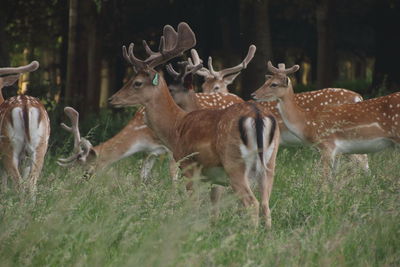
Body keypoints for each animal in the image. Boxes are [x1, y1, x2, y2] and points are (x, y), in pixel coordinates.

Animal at [108, 22, 280, 229]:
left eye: (137, 82)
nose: (112, 99)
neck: (176, 127)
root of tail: (257, 114)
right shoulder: (215, 178)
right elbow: (214, 203)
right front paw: (212, 227)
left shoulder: (189, 164)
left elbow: (194, 203)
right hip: (270, 163)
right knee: (265, 204)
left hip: (234, 163)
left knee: (252, 202)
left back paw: (250, 234)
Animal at [253, 61, 400, 177]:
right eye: (265, 81)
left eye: (274, 84)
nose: (253, 94)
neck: (306, 122)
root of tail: (359, 96)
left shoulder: (327, 145)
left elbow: (324, 178)